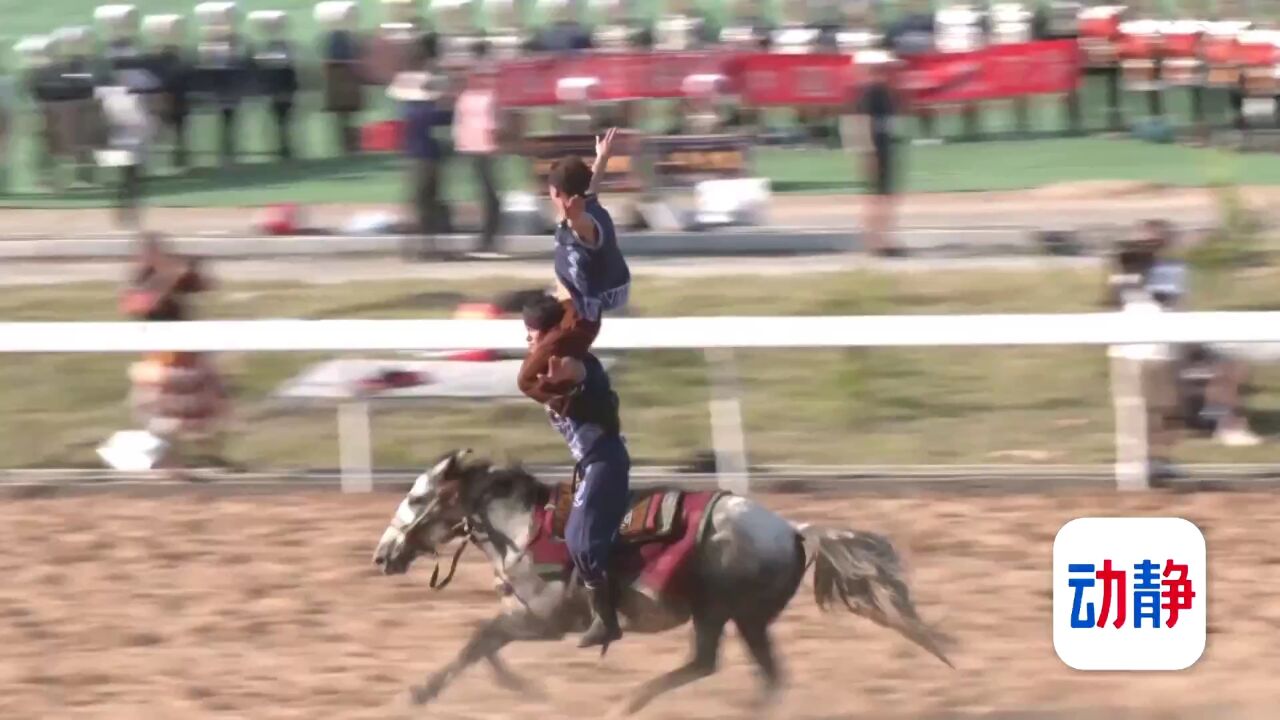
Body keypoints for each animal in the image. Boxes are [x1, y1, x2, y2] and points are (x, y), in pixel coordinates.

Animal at [371, 448, 952, 712]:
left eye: (417, 498)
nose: (382, 555)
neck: (523, 530)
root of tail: (791, 530)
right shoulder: (526, 618)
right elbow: (484, 643)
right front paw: (522, 688)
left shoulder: (546, 621)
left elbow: (480, 638)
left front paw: (421, 692)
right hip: (748, 619)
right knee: (762, 675)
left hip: (719, 611)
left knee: (704, 663)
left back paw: (627, 705)